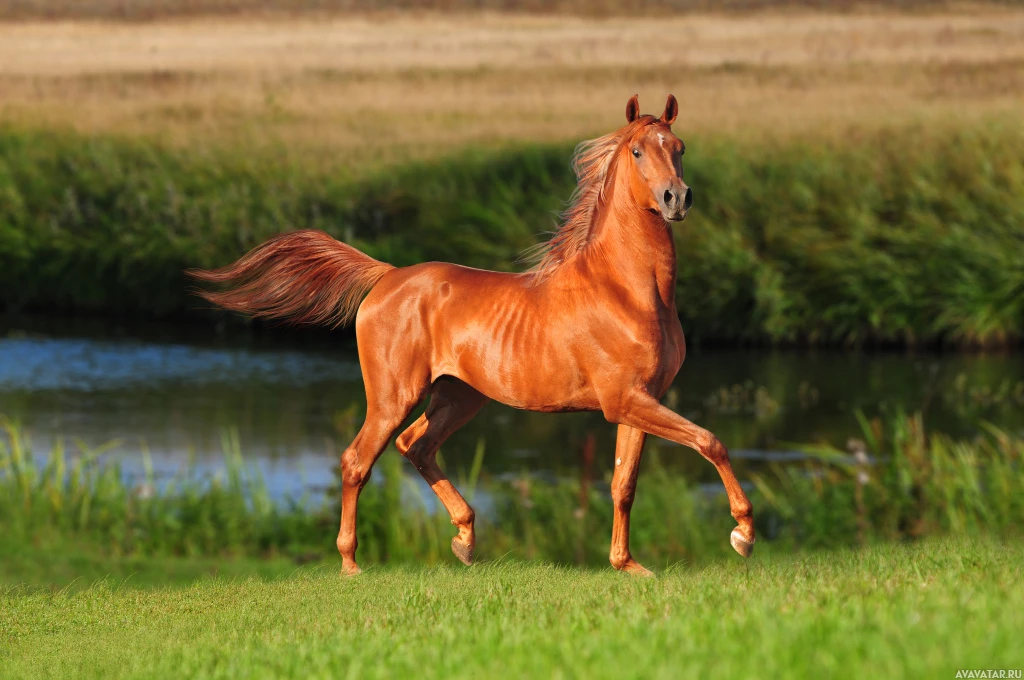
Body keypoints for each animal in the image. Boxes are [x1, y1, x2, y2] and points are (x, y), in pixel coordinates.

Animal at [190, 94, 753, 573]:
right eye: (637, 151)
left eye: (679, 148)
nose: (676, 198)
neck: (627, 290)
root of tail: (387, 276)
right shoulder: (625, 400)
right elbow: (711, 441)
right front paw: (742, 534)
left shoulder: (639, 399)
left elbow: (623, 484)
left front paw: (628, 566)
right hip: (395, 396)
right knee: (357, 460)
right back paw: (351, 563)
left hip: (459, 396)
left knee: (416, 446)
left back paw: (464, 539)